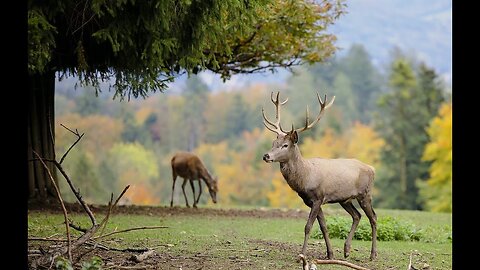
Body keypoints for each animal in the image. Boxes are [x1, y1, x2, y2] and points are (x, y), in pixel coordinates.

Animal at [260, 92, 376, 260]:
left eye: (285, 145)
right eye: (273, 143)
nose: (266, 156)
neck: (305, 178)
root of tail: (372, 169)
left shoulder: (318, 197)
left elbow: (308, 226)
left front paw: (302, 255)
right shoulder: (311, 201)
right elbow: (323, 227)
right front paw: (330, 254)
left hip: (365, 194)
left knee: (373, 218)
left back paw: (373, 254)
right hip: (345, 199)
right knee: (357, 216)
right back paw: (346, 250)